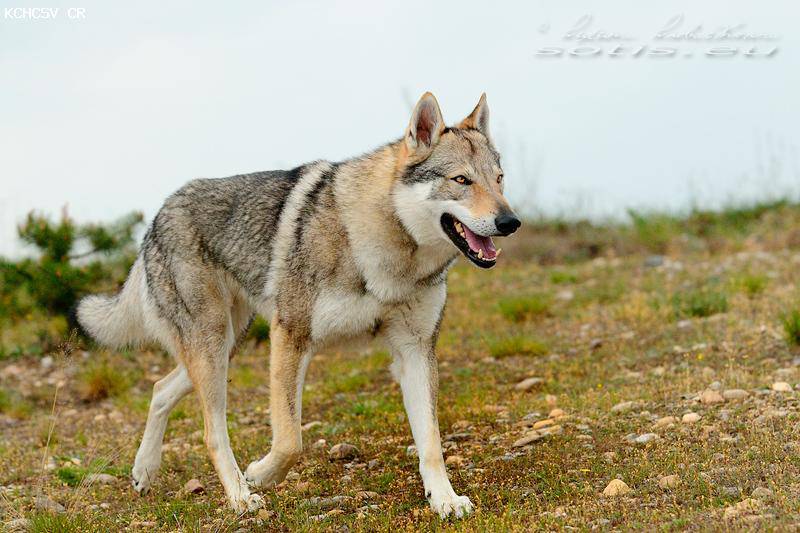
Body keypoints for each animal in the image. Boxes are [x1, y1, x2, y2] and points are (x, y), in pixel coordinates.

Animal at [76, 91, 520, 516]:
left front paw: (445, 499)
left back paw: (143, 472)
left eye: (499, 180)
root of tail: (157, 215)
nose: (510, 222)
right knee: (211, 431)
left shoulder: (416, 350)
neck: (387, 250)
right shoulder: (291, 335)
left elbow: (431, 442)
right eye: (461, 179)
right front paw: (259, 474)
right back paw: (239, 497)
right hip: (213, 347)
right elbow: (291, 439)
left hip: (225, 347)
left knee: (159, 389)